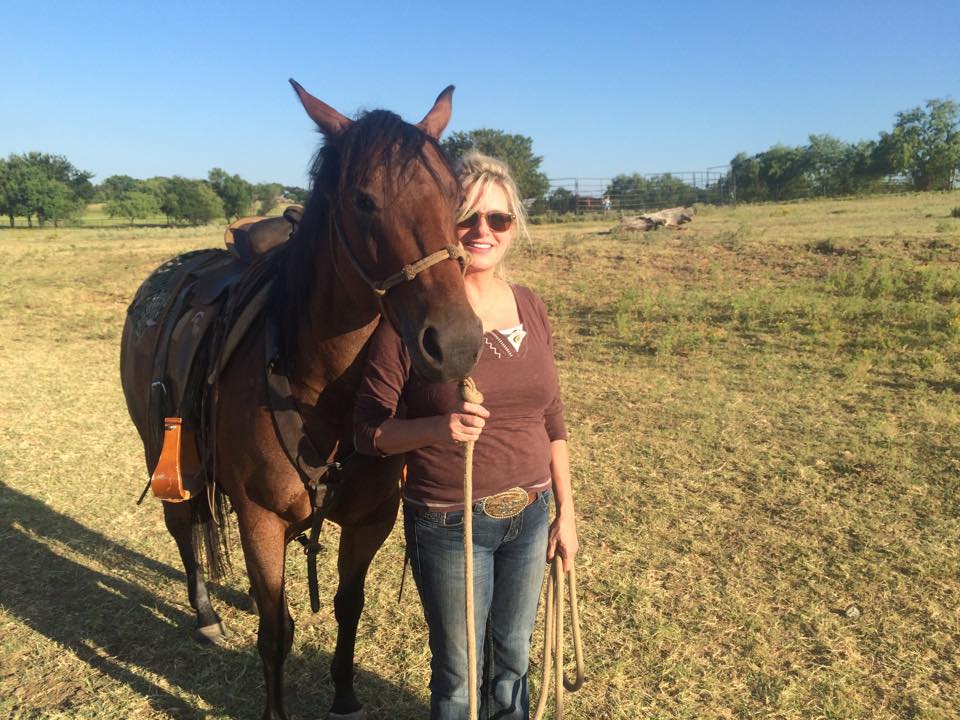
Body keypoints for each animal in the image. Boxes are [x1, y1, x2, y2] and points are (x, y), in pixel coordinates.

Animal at [120, 80, 484, 720]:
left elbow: (347, 607)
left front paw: (344, 695)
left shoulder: (370, 521)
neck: (323, 393)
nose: (458, 343)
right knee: (183, 526)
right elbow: (276, 631)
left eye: (456, 199)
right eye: (364, 201)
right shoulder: (261, 521)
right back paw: (205, 614)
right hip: (161, 450)